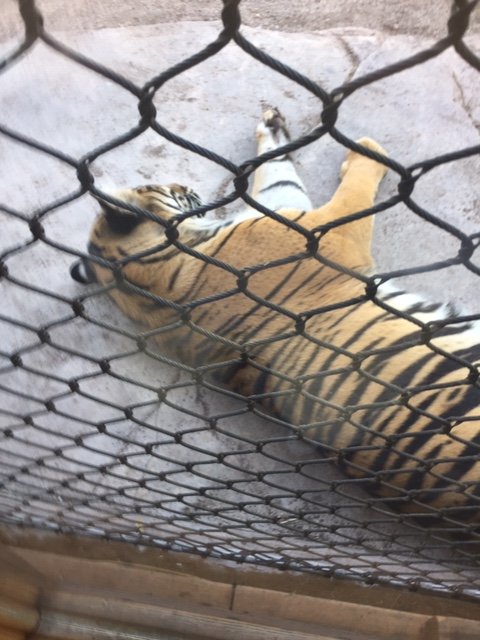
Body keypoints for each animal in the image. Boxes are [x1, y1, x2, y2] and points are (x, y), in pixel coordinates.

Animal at [71, 108, 480, 530]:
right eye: (153, 185)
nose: (183, 184)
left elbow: (275, 170)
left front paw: (272, 126)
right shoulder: (323, 231)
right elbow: (345, 189)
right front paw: (369, 149)